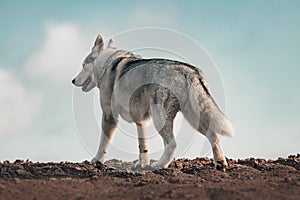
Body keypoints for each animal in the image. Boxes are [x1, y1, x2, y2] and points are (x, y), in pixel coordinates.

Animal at [71, 34, 233, 170]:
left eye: (83, 65)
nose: (73, 80)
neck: (107, 63)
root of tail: (190, 71)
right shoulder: (141, 121)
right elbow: (143, 147)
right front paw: (142, 165)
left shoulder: (109, 116)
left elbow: (103, 144)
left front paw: (96, 161)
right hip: (194, 119)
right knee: (213, 135)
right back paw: (220, 163)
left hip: (161, 119)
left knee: (172, 144)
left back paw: (159, 165)